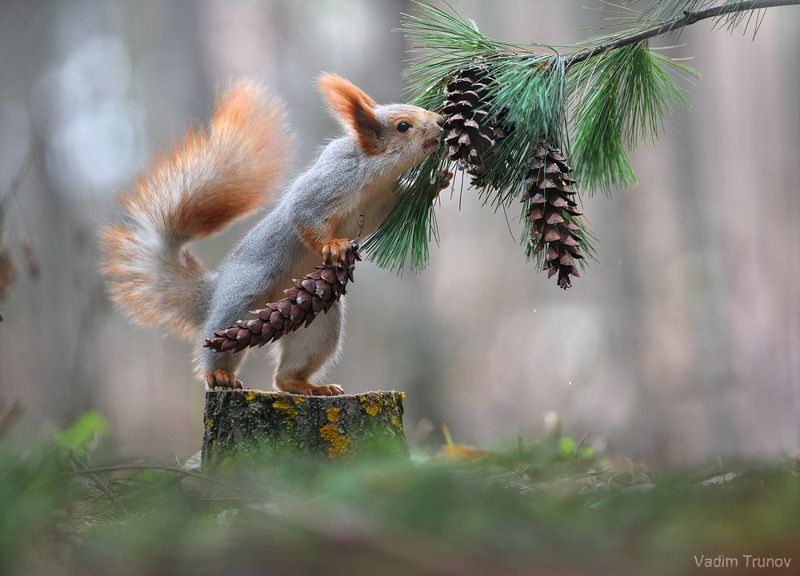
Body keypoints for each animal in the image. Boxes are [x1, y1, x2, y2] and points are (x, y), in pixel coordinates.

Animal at [101, 74, 445, 395]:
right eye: (403, 126)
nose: (442, 122)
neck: (375, 173)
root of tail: (215, 292)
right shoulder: (327, 186)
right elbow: (303, 215)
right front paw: (332, 245)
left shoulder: (382, 202)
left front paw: (437, 181)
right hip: (239, 301)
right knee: (217, 341)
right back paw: (219, 374)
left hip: (319, 323)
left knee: (285, 375)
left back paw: (306, 385)